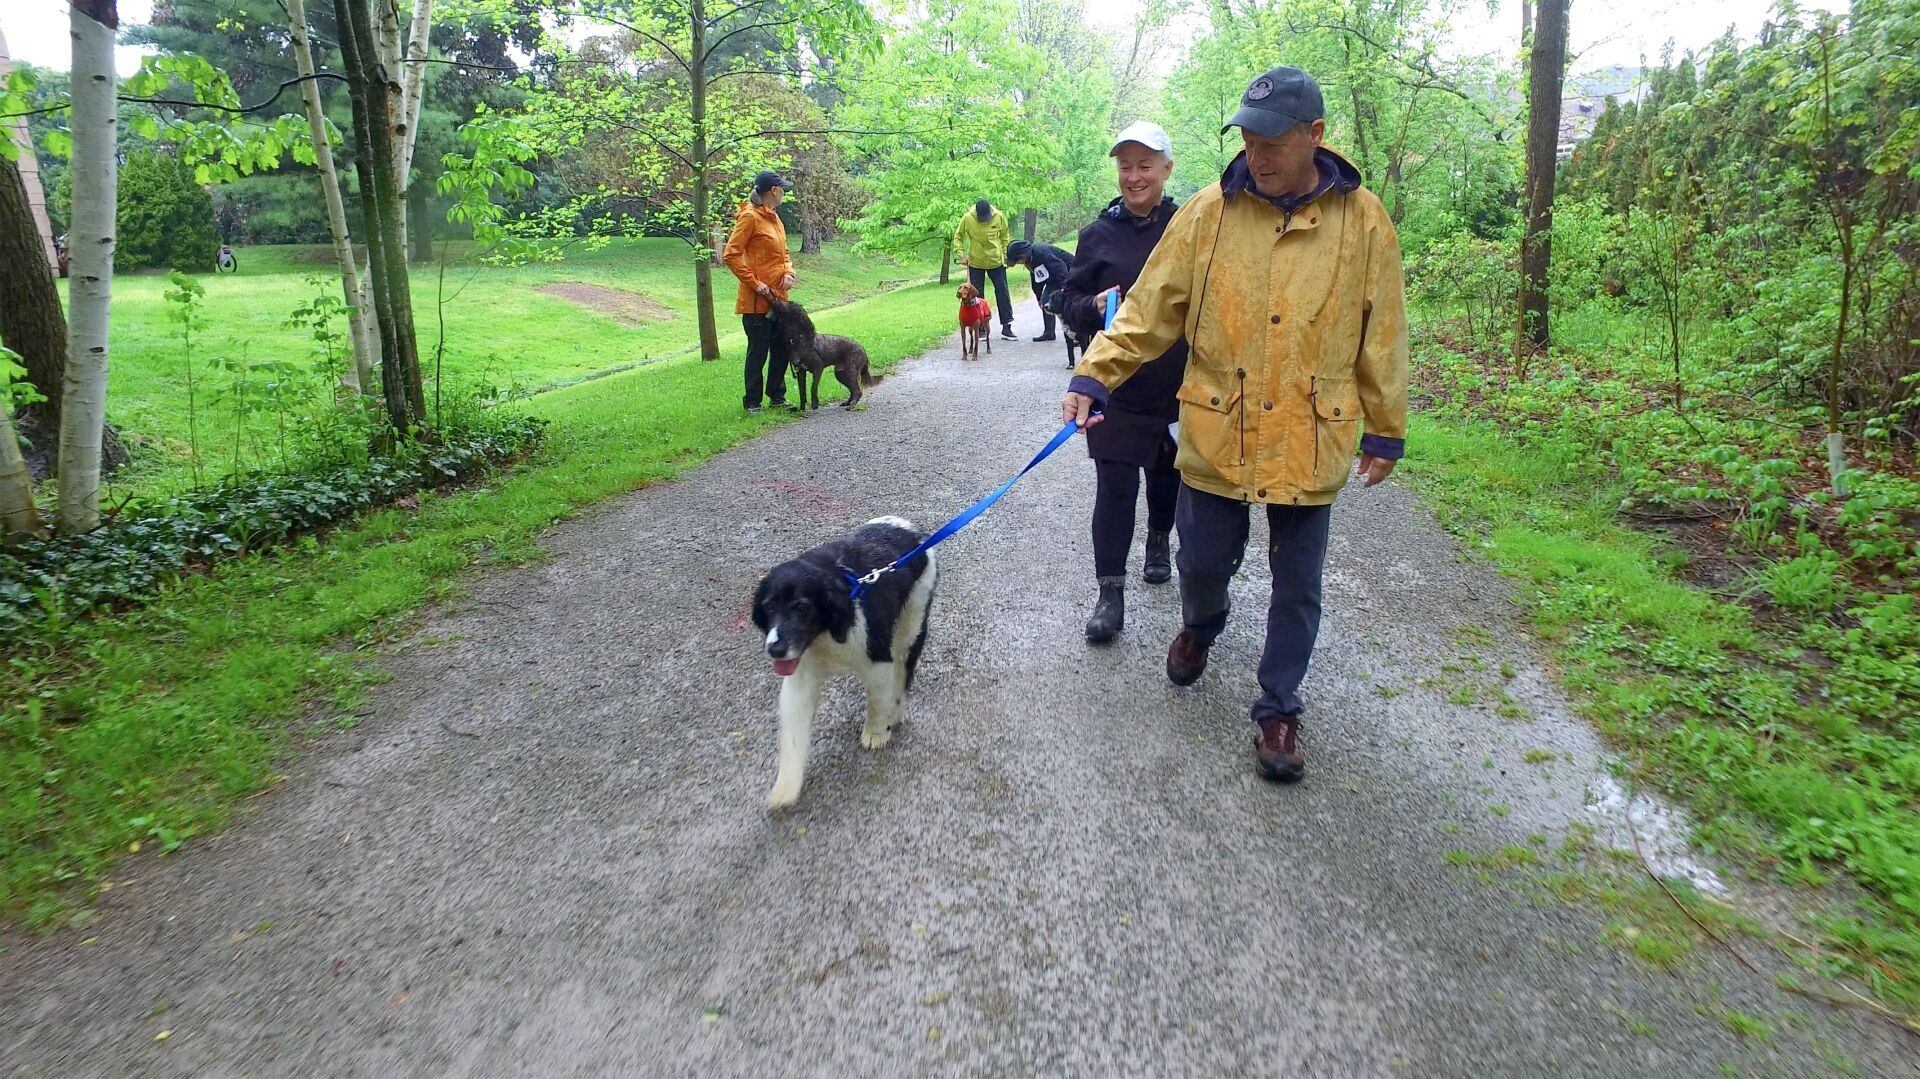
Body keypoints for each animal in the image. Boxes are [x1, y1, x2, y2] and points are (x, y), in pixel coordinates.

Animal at [748, 514, 936, 806]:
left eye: (802, 607)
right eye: (768, 607)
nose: (775, 649)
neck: (827, 633)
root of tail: (908, 526)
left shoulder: (878, 659)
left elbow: (877, 702)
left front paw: (875, 733)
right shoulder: (800, 678)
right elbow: (792, 733)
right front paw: (786, 788)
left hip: (913, 618)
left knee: (903, 669)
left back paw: (895, 712)